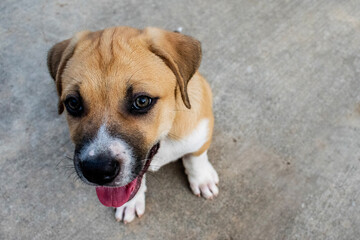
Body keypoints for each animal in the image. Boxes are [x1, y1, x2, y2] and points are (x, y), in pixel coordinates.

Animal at [46, 27, 218, 224]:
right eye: (73, 103)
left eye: (142, 101)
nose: (97, 171)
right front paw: (131, 203)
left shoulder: (200, 129)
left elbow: (196, 156)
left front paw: (203, 179)